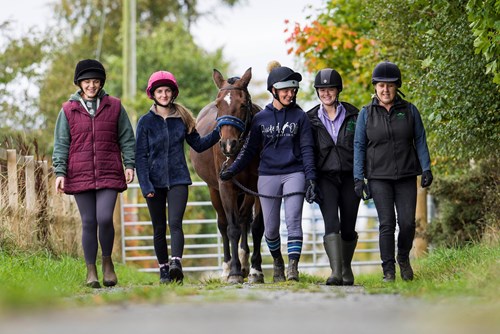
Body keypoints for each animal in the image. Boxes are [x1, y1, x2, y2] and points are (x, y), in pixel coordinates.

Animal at [189, 68, 266, 284]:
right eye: (218, 105)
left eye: (243, 104)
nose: (228, 144)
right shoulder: (226, 187)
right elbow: (232, 228)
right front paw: (234, 272)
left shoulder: (258, 188)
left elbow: (257, 227)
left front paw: (256, 270)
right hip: (213, 190)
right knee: (224, 225)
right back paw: (226, 267)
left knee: (244, 219)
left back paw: (245, 263)